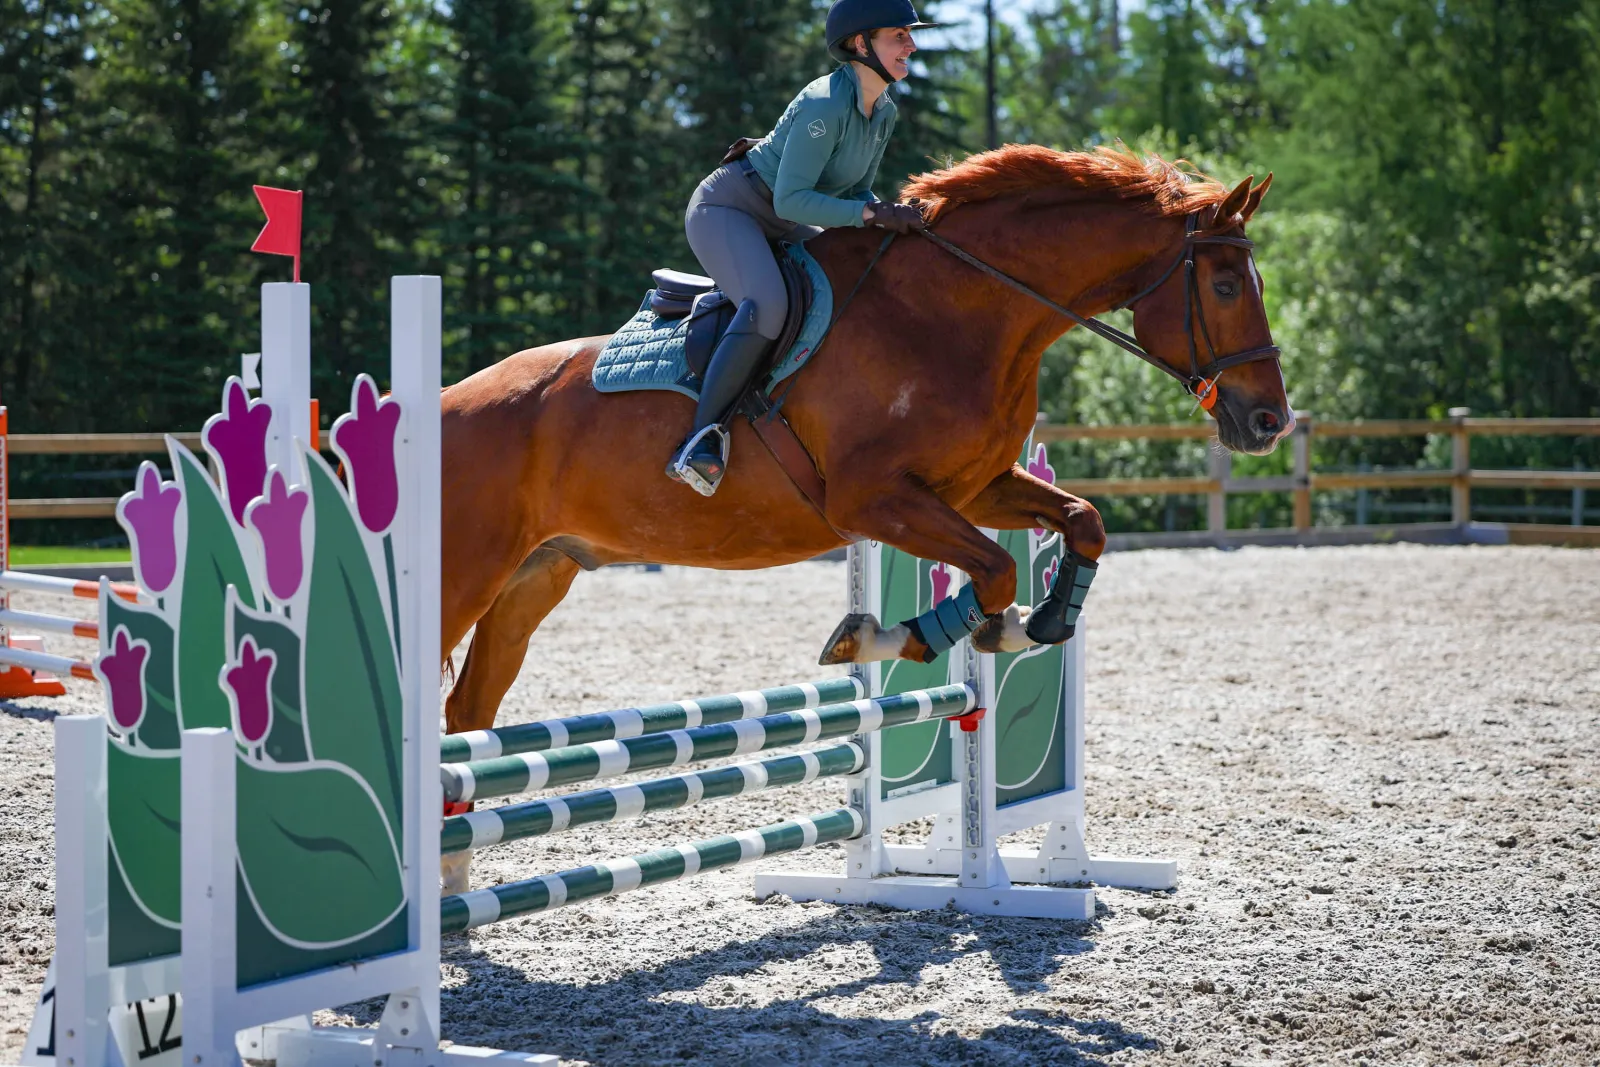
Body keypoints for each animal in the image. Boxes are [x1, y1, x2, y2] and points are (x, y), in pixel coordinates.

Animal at [437, 145, 1293, 738]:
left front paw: (1034, 624)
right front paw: (889, 637)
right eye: (1224, 286)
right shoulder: (872, 499)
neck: (956, 310)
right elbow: (992, 569)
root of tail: (446, 402)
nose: (1269, 422)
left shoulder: (976, 486)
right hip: (466, 574)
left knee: (468, 711)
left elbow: (1082, 522)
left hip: (536, 575)